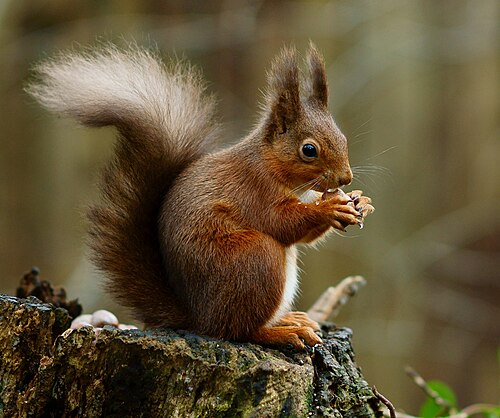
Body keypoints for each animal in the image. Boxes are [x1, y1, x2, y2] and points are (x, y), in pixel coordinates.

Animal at [27, 42, 372, 350]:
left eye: (342, 138)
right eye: (309, 150)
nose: (345, 178)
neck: (271, 166)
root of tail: (199, 318)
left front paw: (360, 201)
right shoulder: (253, 190)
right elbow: (282, 223)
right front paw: (330, 208)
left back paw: (289, 319)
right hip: (254, 259)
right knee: (238, 330)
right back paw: (280, 332)